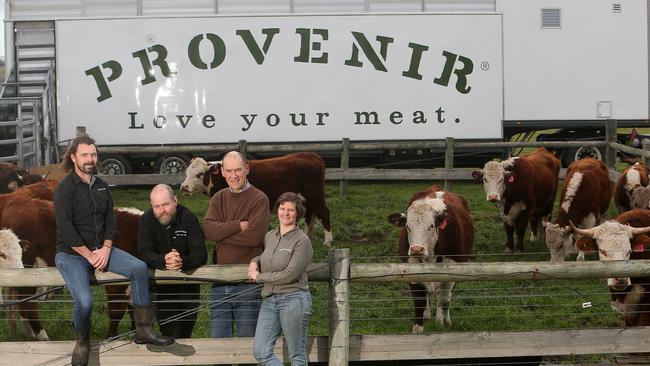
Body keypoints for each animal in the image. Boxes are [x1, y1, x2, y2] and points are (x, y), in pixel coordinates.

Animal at [182, 152, 334, 246]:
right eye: (187, 172)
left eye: (199, 174)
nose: (184, 187)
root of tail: (311, 155)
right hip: (307, 200)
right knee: (310, 217)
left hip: (315, 196)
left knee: (324, 213)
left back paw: (328, 241)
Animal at [388, 186, 474, 332]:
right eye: (408, 227)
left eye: (431, 226)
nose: (417, 249)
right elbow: (419, 302)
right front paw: (417, 329)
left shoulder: (452, 269)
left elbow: (445, 300)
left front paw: (445, 322)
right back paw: (427, 314)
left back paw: (441, 318)